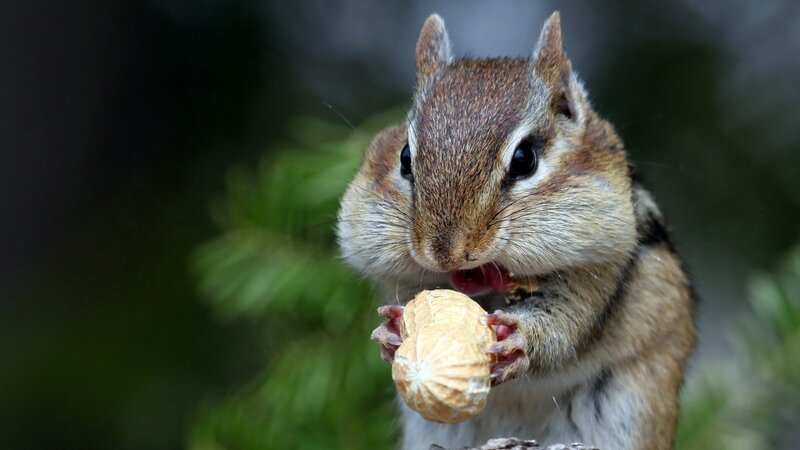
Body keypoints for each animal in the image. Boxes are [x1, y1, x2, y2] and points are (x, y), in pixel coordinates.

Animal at [337, 12, 696, 450]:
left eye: (525, 159)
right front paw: (390, 332)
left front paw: (521, 337)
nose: (445, 253)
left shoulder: (602, 266)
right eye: (405, 158)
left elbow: (568, 322)